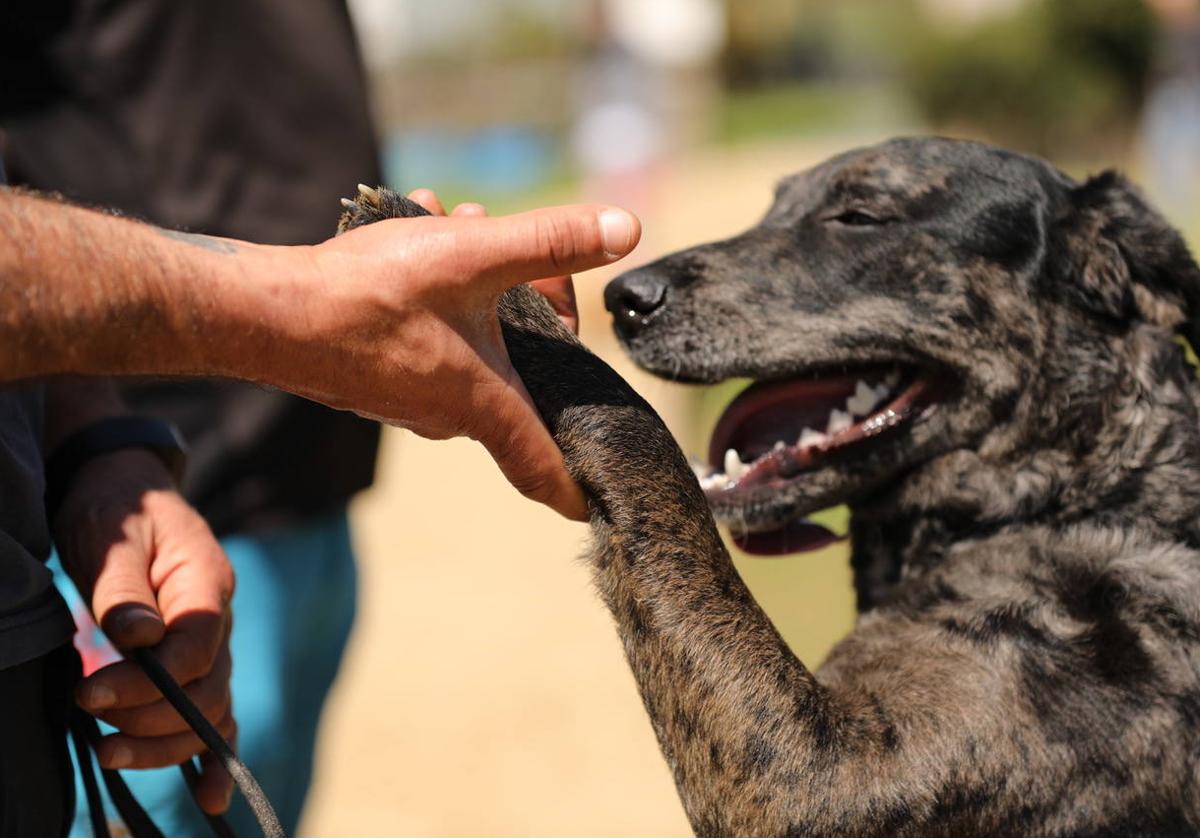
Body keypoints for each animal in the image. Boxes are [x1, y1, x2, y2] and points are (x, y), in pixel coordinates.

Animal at [338, 135, 1200, 830]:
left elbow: (644, 437)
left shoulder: (825, 778)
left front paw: (484, 287)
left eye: (860, 215)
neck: (1076, 495)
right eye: (773, 206)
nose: (625, 298)